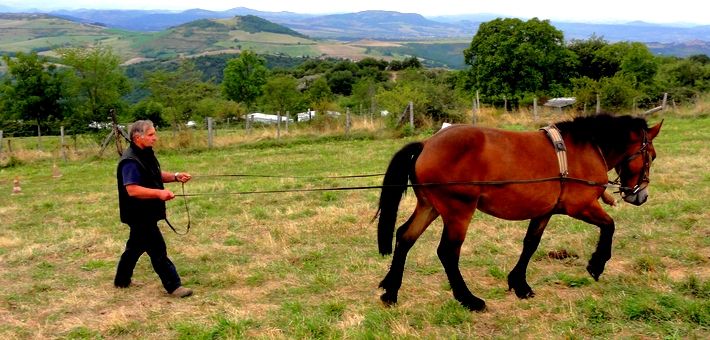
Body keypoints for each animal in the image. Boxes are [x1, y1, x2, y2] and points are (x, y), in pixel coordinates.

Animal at [376, 113, 664, 310]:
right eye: (651, 155)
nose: (641, 195)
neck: (584, 149)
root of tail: (426, 144)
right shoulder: (581, 207)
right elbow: (609, 225)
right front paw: (597, 264)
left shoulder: (544, 211)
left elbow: (530, 244)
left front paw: (519, 284)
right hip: (458, 211)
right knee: (447, 252)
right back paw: (468, 299)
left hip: (430, 206)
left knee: (405, 237)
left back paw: (391, 291)